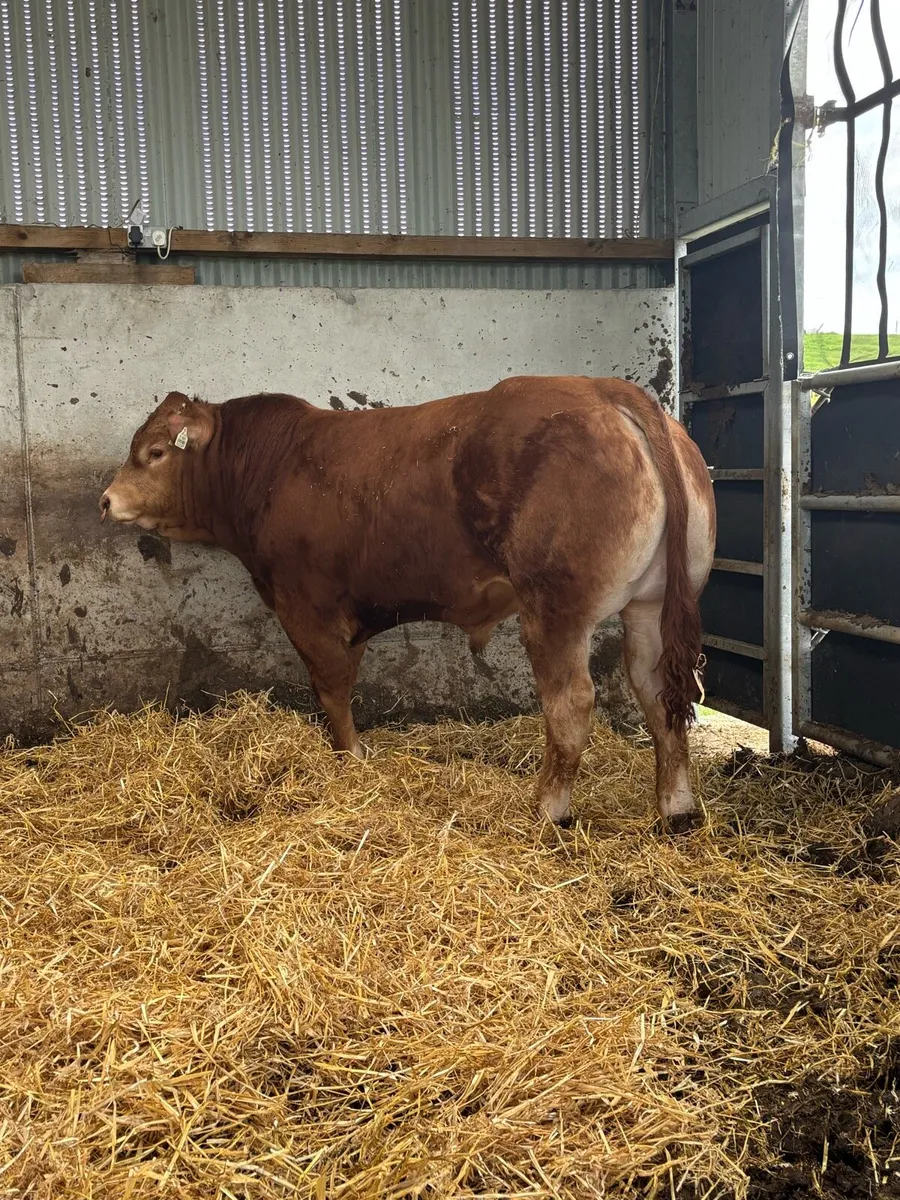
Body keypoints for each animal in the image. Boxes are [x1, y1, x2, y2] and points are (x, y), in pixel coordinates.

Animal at [99, 377, 715, 831]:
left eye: (155, 452)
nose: (105, 500)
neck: (271, 467)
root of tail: (604, 391)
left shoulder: (308, 607)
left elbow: (332, 688)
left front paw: (350, 758)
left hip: (555, 610)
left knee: (571, 705)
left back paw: (546, 810)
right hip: (651, 606)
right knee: (659, 695)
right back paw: (675, 809)